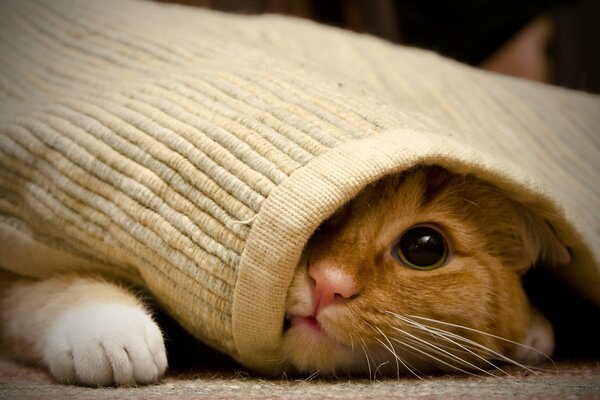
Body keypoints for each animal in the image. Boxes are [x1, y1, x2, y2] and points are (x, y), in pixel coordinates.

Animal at [0, 166, 568, 384]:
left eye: (423, 248)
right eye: (327, 217)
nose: (328, 284)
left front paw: (531, 331)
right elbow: (55, 288)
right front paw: (109, 328)